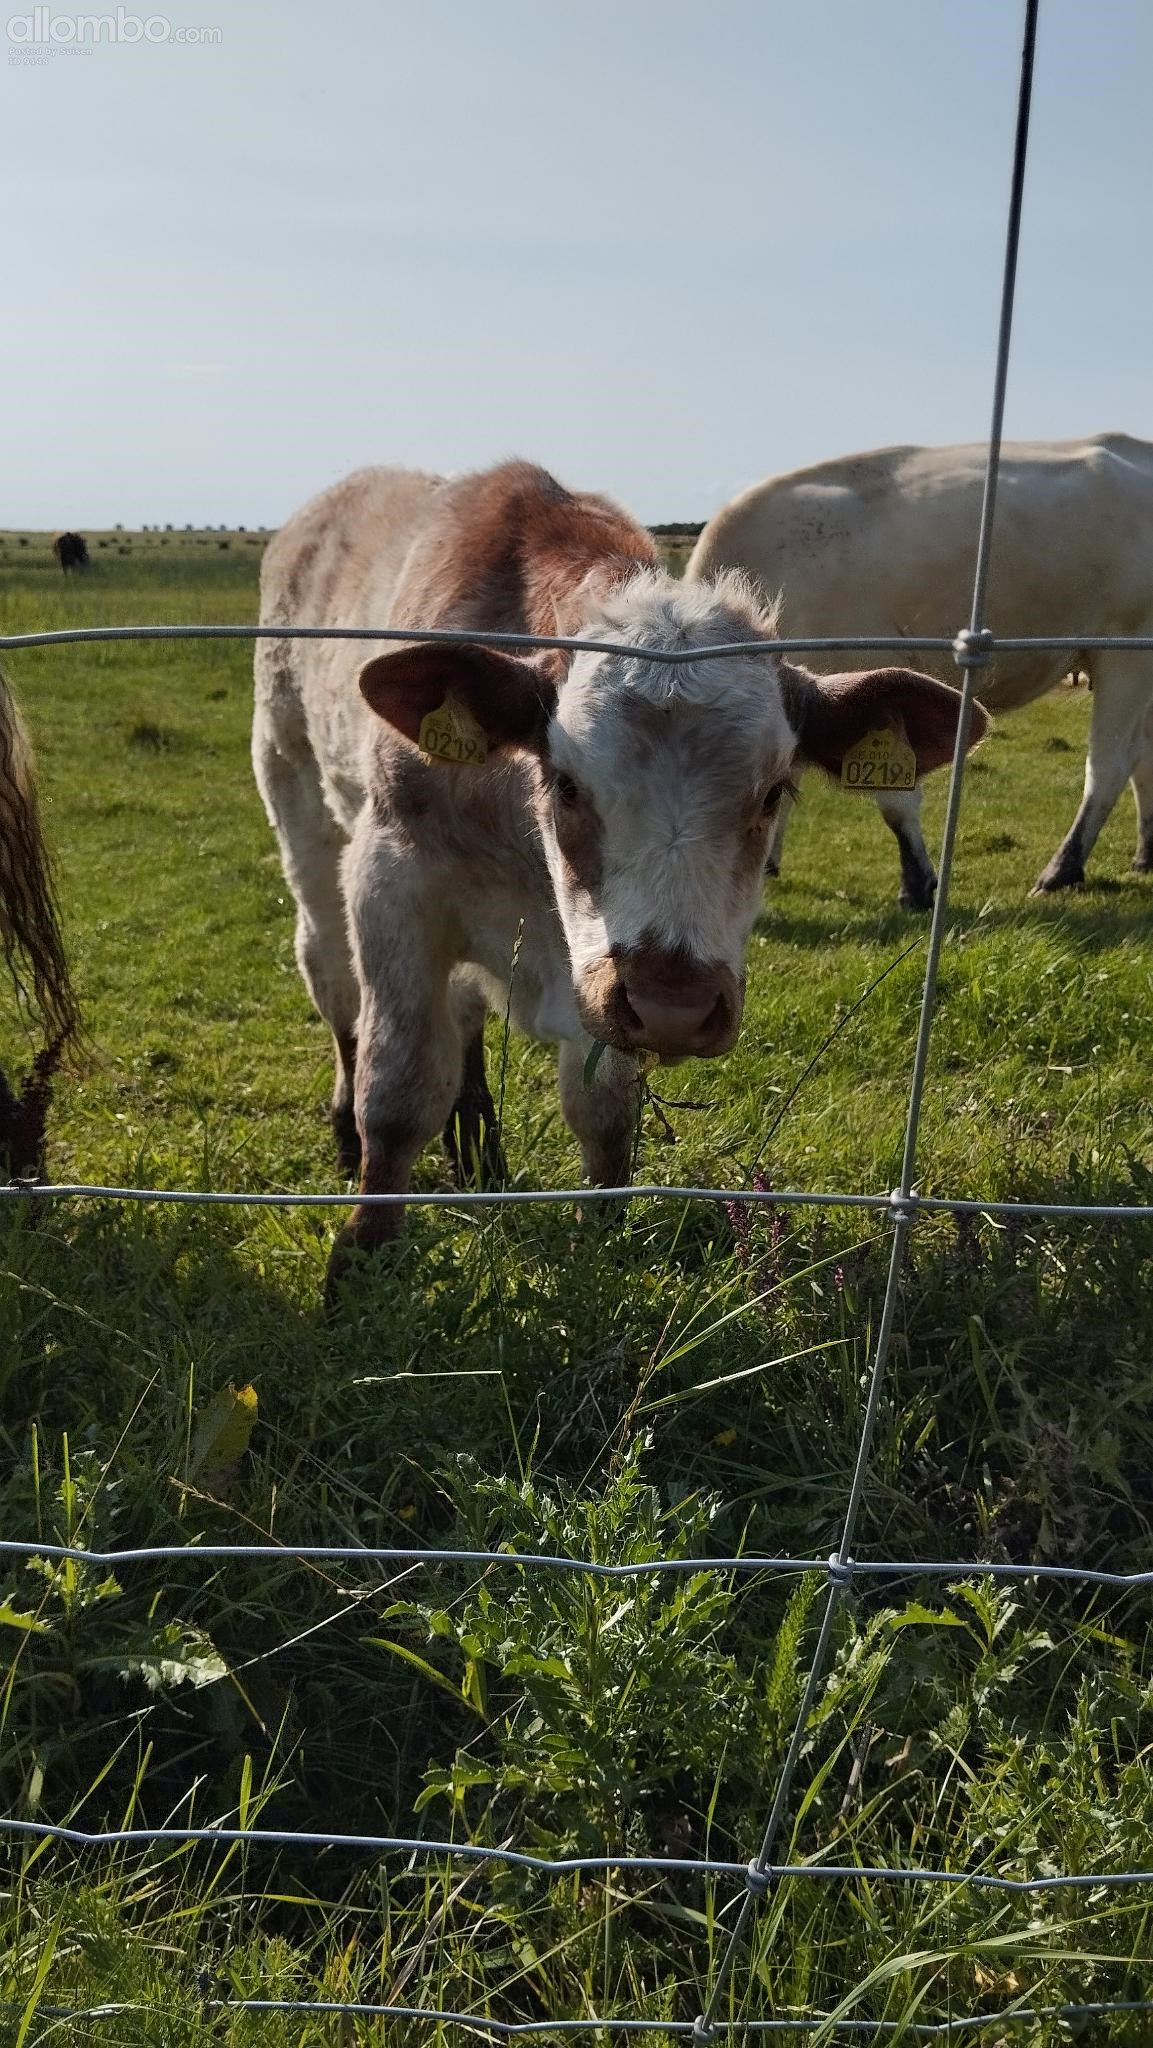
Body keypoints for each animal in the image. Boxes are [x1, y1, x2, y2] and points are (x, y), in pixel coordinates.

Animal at [253, 460, 983, 1283]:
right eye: (567, 784)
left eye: (773, 792)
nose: (674, 1004)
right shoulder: (393, 883)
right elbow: (400, 1087)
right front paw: (363, 1254)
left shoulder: (599, 982)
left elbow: (604, 1112)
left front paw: (600, 1237)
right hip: (294, 790)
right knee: (331, 976)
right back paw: (353, 1129)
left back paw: (479, 1154)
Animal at [686, 434, 1153, 906]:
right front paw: (769, 862)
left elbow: (895, 800)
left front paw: (917, 883)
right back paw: (1145, 853)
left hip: (1125, 651)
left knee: (1111, 762)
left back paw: (1062, 869)